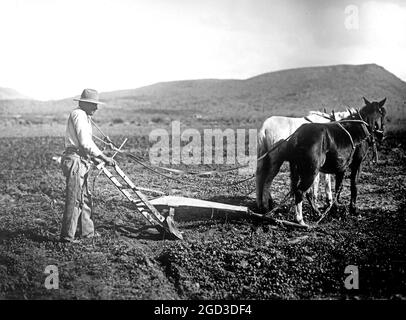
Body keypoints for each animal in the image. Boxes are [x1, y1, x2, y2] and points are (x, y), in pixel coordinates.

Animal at [284, 97, 386, 225]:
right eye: (383, 113)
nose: (382, 135)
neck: (361, 127)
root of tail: (298, 135)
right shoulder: (357, 163)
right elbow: (354, 185)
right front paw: (353, 209)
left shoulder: (341, 167)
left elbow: (338, 187)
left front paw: (335, 208)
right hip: (311, 171)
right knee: (300, 192)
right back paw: (300, 219)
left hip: (300, 170)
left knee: (305, 192)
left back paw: (316, 212)